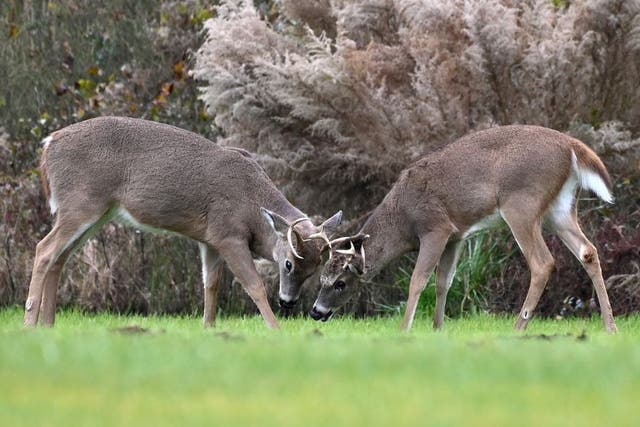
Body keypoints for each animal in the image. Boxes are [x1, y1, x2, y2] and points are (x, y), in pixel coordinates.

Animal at [26, 116, 342, 329]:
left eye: (315, 268)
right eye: (288, 263)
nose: (288, 301)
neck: (253, 205)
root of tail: (48, 145)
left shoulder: (210, 240)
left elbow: (211, 286)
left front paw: (208, 329)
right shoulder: (228, 233)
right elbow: (253, 285)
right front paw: (275, 329)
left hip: (96, 212)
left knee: (60, 257)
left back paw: (48, 324)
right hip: (81, 203)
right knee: (44, 249)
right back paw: (30, 323)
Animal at [309, 125, 618, 333]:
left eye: (340, 283)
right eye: (321, 278)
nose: (316, 311)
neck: (402, 217)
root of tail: (572, 147)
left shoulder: (435, 226)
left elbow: (418, 279)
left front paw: (405, 329)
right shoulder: (456, 235)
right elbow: (444, 281)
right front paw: (438, 328)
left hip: (521, 203)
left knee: (542, 262)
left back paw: (518, 328)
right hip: (560, 208)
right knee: (588, 251)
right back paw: (610, 326)